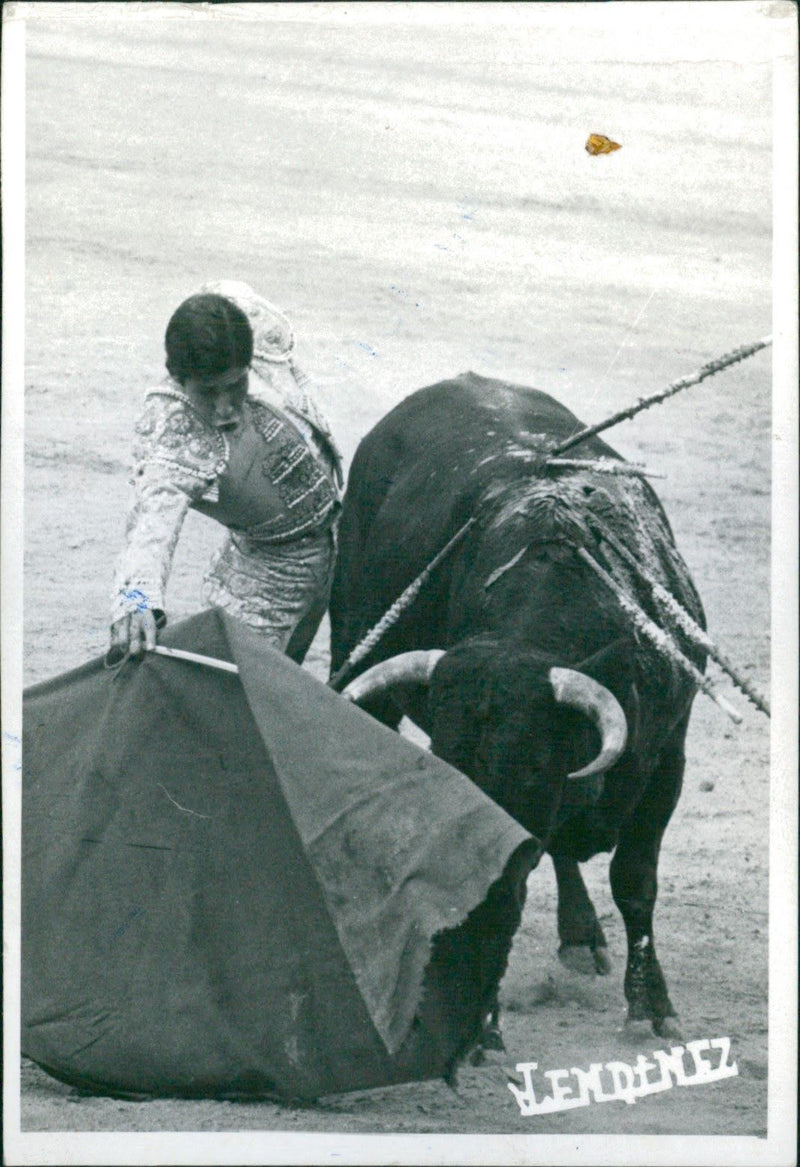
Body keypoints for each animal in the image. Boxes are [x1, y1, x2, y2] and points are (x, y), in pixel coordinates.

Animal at [331, 373, 709, 1040]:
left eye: (533, 764)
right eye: (451, 764)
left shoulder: (669, 755)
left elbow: (635, 880)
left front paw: (652, 1007)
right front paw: (482, 1022)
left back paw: (583, 936)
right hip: (355, 642)